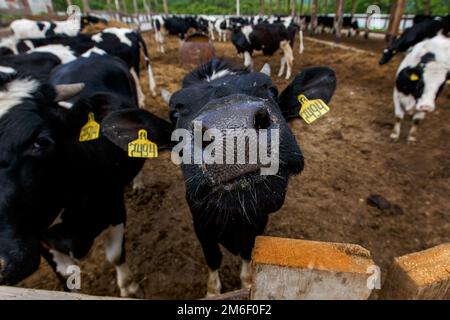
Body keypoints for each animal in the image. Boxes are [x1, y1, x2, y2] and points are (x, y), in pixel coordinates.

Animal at [0, 55, 172, 298]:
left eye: (41, 141)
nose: (2, 264)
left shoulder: (115, 208)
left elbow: (115, 255)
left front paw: (130, 288)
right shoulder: (39, 239)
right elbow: (66, 275)